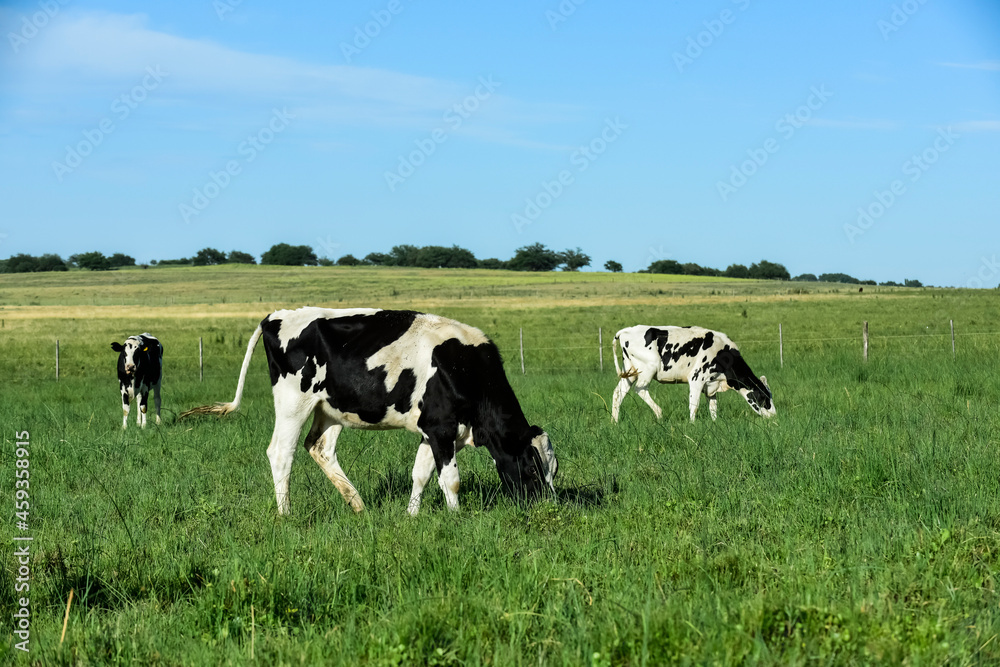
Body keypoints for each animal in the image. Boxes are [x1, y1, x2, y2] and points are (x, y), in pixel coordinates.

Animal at [178, 308, 556, 516]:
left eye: (553, 472)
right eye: (532, 469)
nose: (549, 505)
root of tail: (276, 316)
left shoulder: (432, 430)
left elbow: (420, 475)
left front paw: (411, 516)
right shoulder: (442, 429)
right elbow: (451, 479)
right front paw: (456, 517)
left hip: (330, 409)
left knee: (320, 448)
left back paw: (357, 504)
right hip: (293, 402)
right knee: (281, 453)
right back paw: (286, 514)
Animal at [608, 324, 772, 422]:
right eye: (764, 398)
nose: (774, 417)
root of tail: (627, 330)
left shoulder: (711, 384)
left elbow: (713, 406)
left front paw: (715, 423)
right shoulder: (697, 378)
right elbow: (694, 404)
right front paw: (692, 424)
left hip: (630, 371)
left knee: (618, 393)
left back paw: (614, 422)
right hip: (648, 368)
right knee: (640, 389)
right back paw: (659, 413)